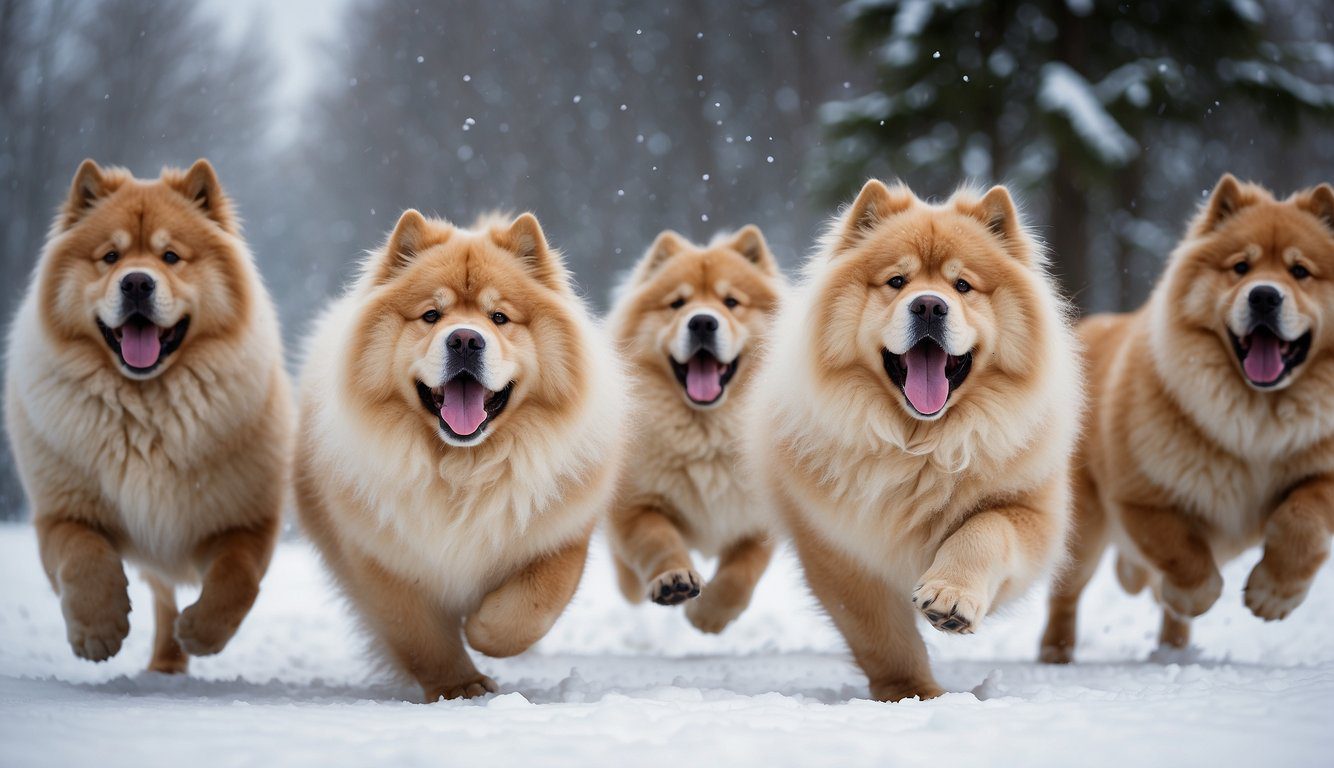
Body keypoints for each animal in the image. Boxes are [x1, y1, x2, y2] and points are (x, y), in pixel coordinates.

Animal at [5, 160, 292, 672]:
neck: (146, 410)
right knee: (159, 590)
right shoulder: (61, 512)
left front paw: (202, 633)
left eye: (171, 256)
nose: (137, 282)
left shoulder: (246, 520)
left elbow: (236, 578)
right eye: (110, 256)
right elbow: (83, 558)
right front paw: (98, 632)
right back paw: (163, 661)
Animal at [605, 225, 779, 632]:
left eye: (731, 302)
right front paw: (674, 582)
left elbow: (742, 572)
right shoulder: (638, 506)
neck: (707, 434)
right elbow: (660, 543)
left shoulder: (761, 519)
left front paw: (709, 615)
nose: (701, 321)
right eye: (677, 304)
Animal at [1040, 176, 1334, 661]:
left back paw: (1173, 651)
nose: (1264, 295)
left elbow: (1302, 523)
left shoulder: (1321, 477)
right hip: (1084, 529)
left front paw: (1273, 596)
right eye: (1240, 267)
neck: (1256, 424)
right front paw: (1197, 595)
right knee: (1065, 592)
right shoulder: (1142, 497)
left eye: (1300, 272)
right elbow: (1181, 553)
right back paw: (1056, 653)